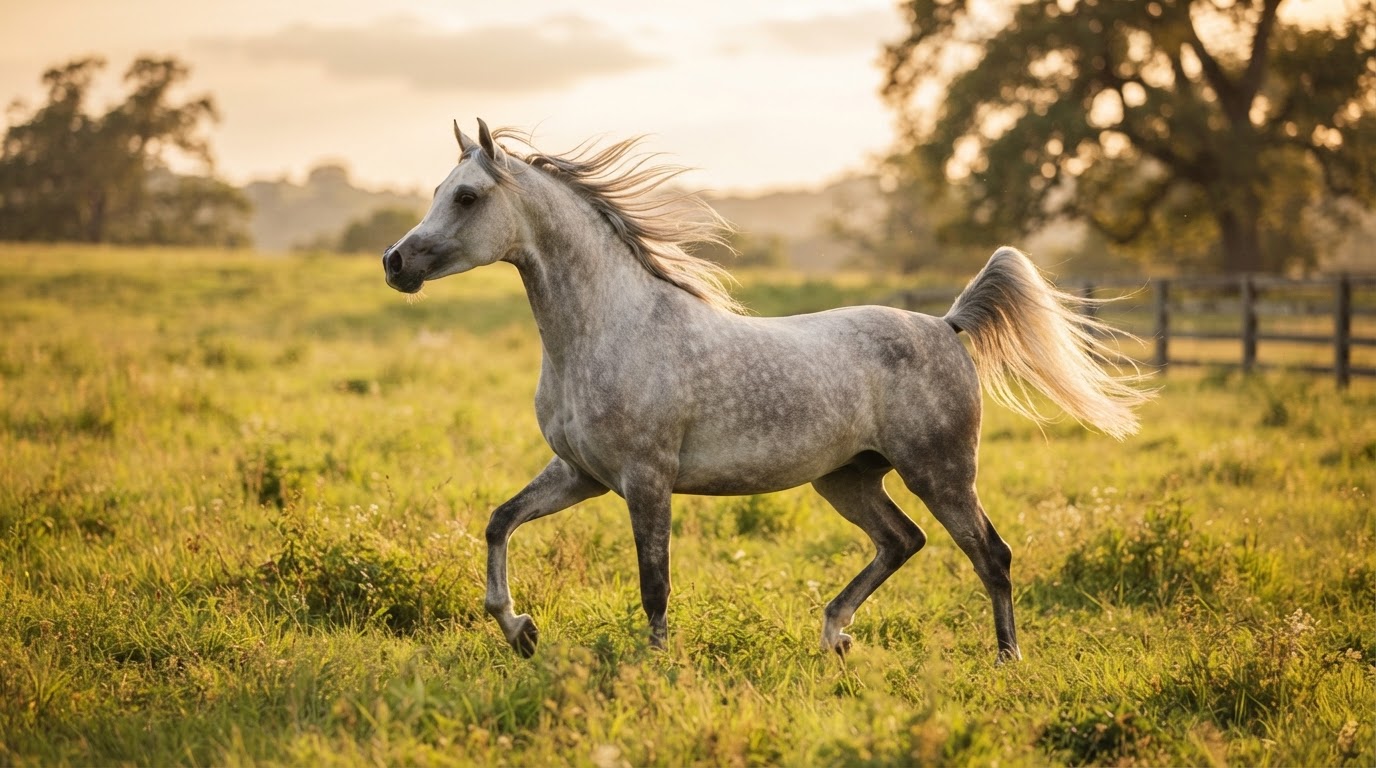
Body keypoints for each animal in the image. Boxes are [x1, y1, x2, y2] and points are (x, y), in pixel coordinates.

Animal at [382, 119, 1151, 663]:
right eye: (437, 192)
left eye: (467, 196)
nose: (394, 262)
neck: (610, 328)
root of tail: (946, 324)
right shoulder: (582, 474)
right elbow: (499, 522)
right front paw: (520, 630)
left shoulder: (645, 480)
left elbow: (654, 582)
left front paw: (654, 668)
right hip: (848, 479)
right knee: (902, 541)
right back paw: (835, 636)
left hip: (940, 472)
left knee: (990, 555)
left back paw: (1005, 660)